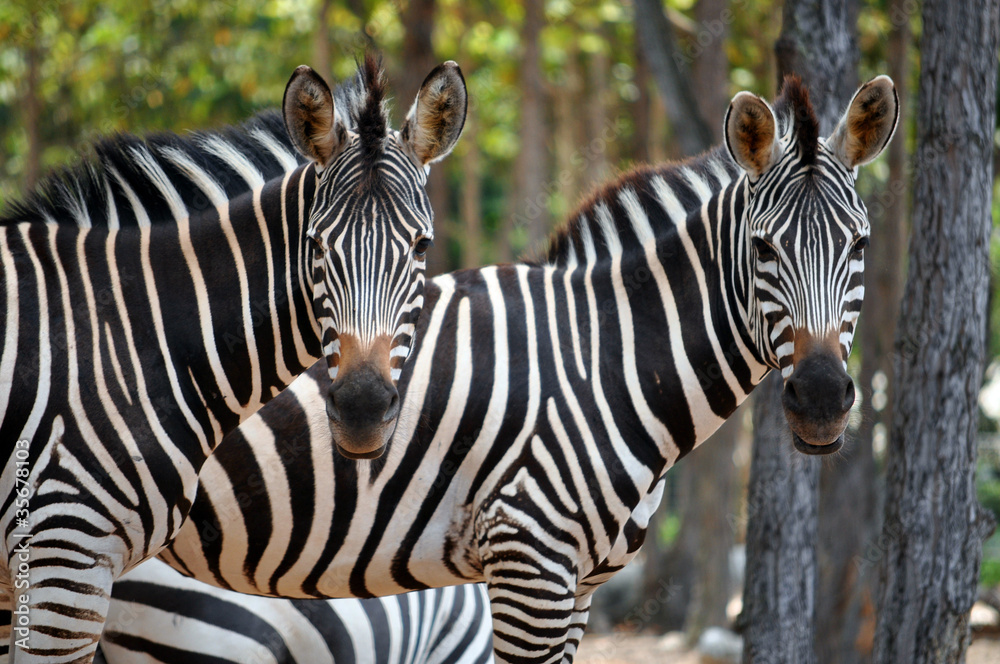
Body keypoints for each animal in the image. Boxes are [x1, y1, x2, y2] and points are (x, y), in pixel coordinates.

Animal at [156, 75, 898, 663]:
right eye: (765, 249)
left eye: (862, 244)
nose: (822, 399)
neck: (599, 362)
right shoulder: (528, 564)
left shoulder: (578, 588)